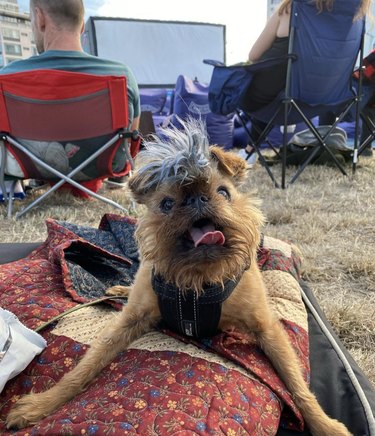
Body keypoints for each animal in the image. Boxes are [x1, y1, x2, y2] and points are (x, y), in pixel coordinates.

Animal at [5, 120, 352, 436]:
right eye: (166, 204)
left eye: (223, 192)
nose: (197, 200)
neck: (197, 279)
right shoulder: (126, 322)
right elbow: (83, 367)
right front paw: (41, 404)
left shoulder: (267, 329)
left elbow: (297, 385)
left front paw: (325, 425)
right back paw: (120, 287)